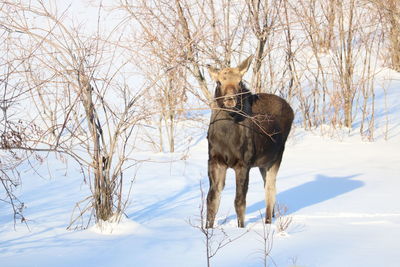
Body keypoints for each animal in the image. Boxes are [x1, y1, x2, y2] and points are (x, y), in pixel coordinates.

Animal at [206, 56, 294, 228]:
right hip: (262, 163)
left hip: (276, 157)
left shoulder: (243, 163)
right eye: (219, 82)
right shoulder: (214, 160)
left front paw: (241, 227)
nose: (230, 100)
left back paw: (268, 222)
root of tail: (291, 109)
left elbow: (239, 202)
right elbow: (212, 199)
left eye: (240, 81)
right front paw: (207, 228)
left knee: (270, 190)